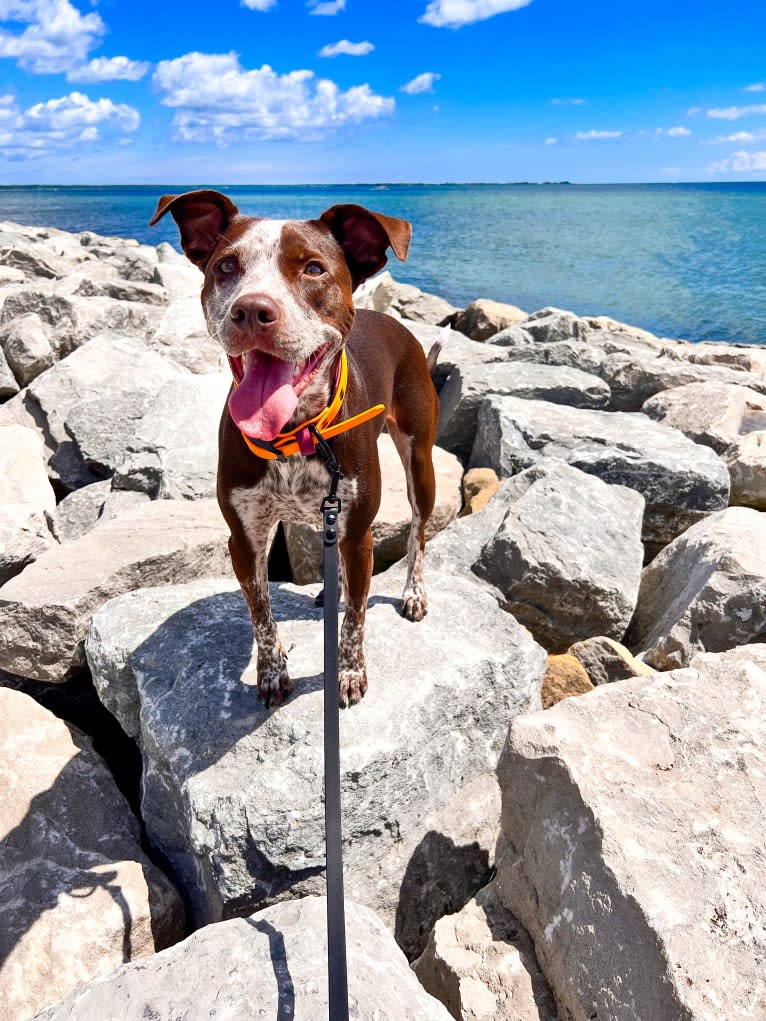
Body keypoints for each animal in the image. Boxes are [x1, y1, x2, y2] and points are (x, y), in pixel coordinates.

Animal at [151, 189, 437, 710]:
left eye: (314, 269)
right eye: (226, 266)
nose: (251, 310)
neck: (296, 432)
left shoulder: (359, 533)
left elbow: (357, 618)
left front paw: (349, 672)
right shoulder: (244, 538)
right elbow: (261, 611)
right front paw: (271, 672)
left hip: (419, 460)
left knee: (418, 531)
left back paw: (412, 592)